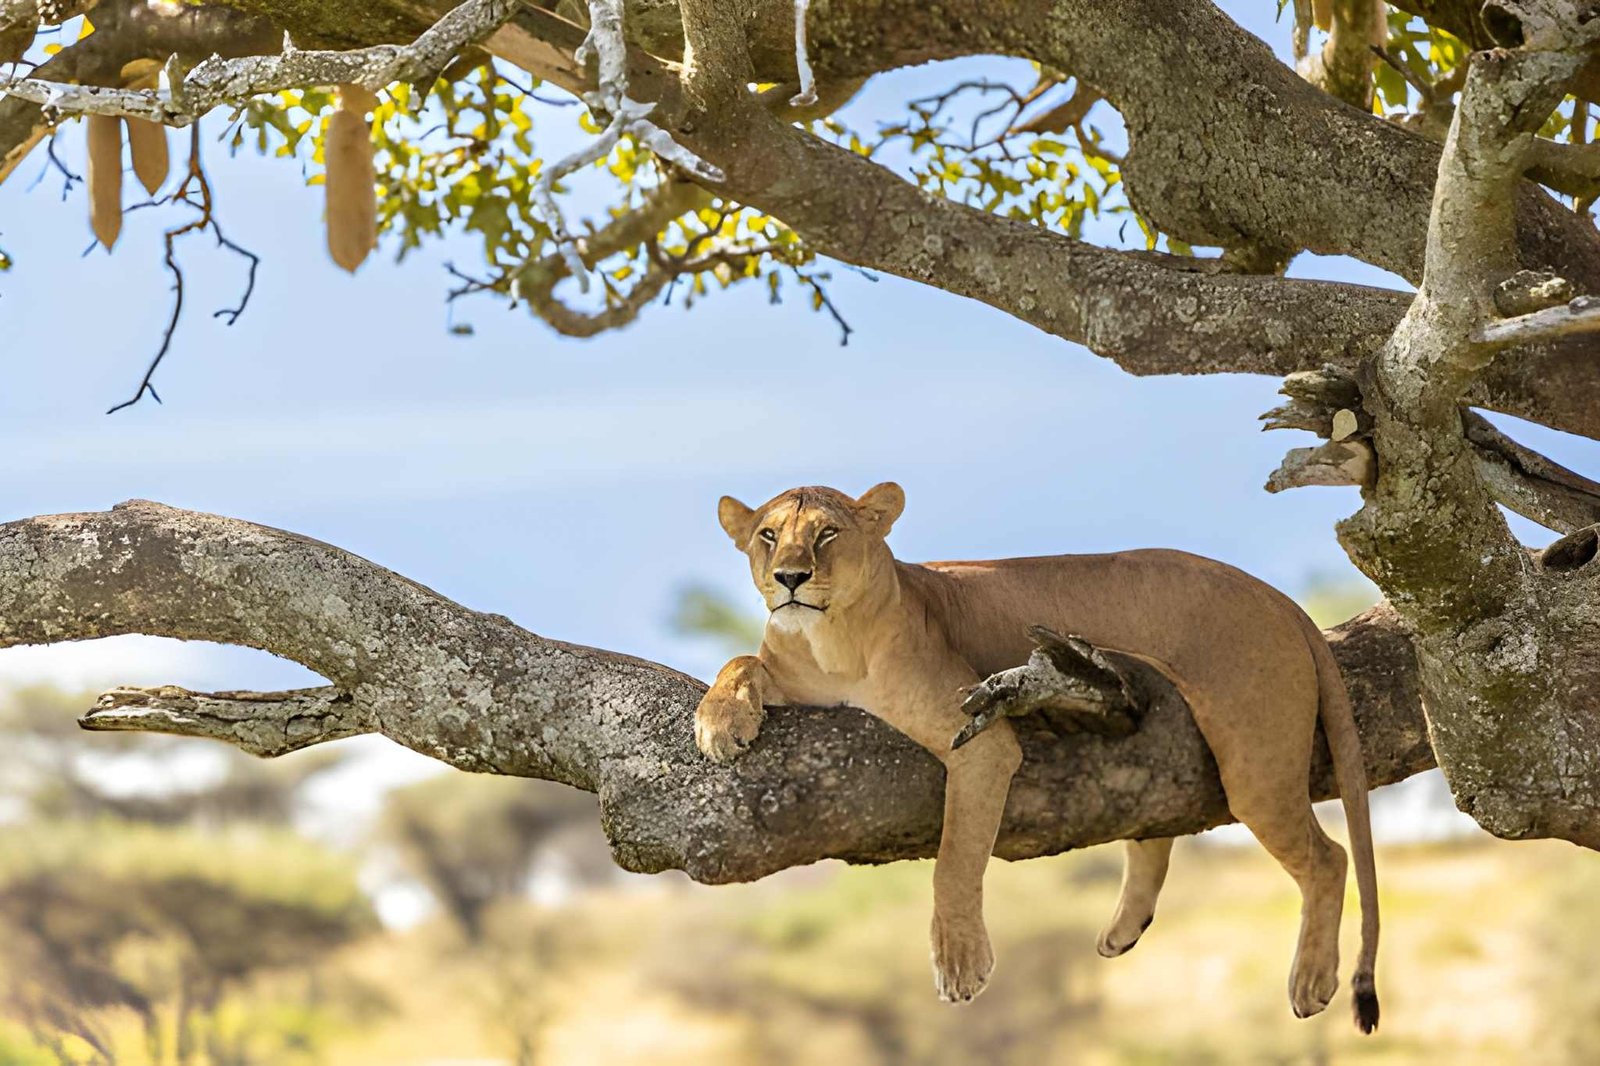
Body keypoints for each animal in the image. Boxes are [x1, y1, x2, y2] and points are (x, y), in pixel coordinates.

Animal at [694, 482, 1380, 1032]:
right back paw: (1125, 929)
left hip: (1254, 759)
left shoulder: (978, 738)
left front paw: (961, 961)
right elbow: (741, 661)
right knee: (1152, 819)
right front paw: (719, 722)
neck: (829, 639)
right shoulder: (792, 674)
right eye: (768, 536)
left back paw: (1312, 980)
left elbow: (955, 858)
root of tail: (1274, 594)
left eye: (827, 533)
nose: (790, 578)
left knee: (1328, 858)